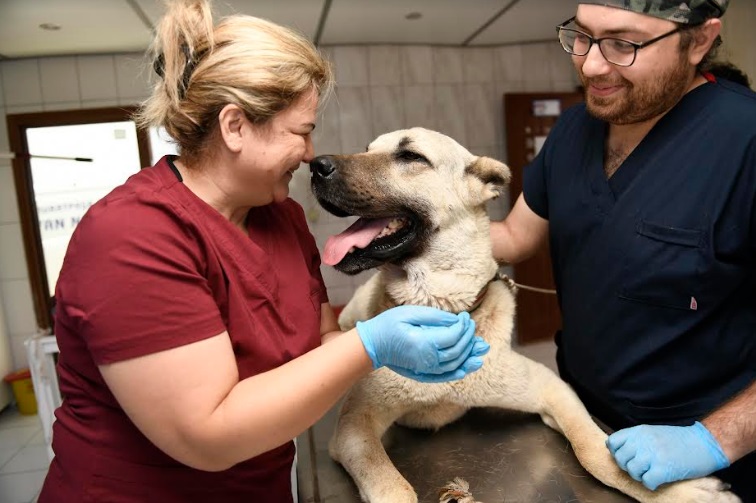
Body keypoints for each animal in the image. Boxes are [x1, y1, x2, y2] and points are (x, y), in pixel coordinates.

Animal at [308, 127, 740, 503]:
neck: (442, 307)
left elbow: (594, 450)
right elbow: (393, 487)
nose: (315, 165)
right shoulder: (355, 427)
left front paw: (674, 489)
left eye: (411, 156)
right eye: (367, 148)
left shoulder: (553, 388)